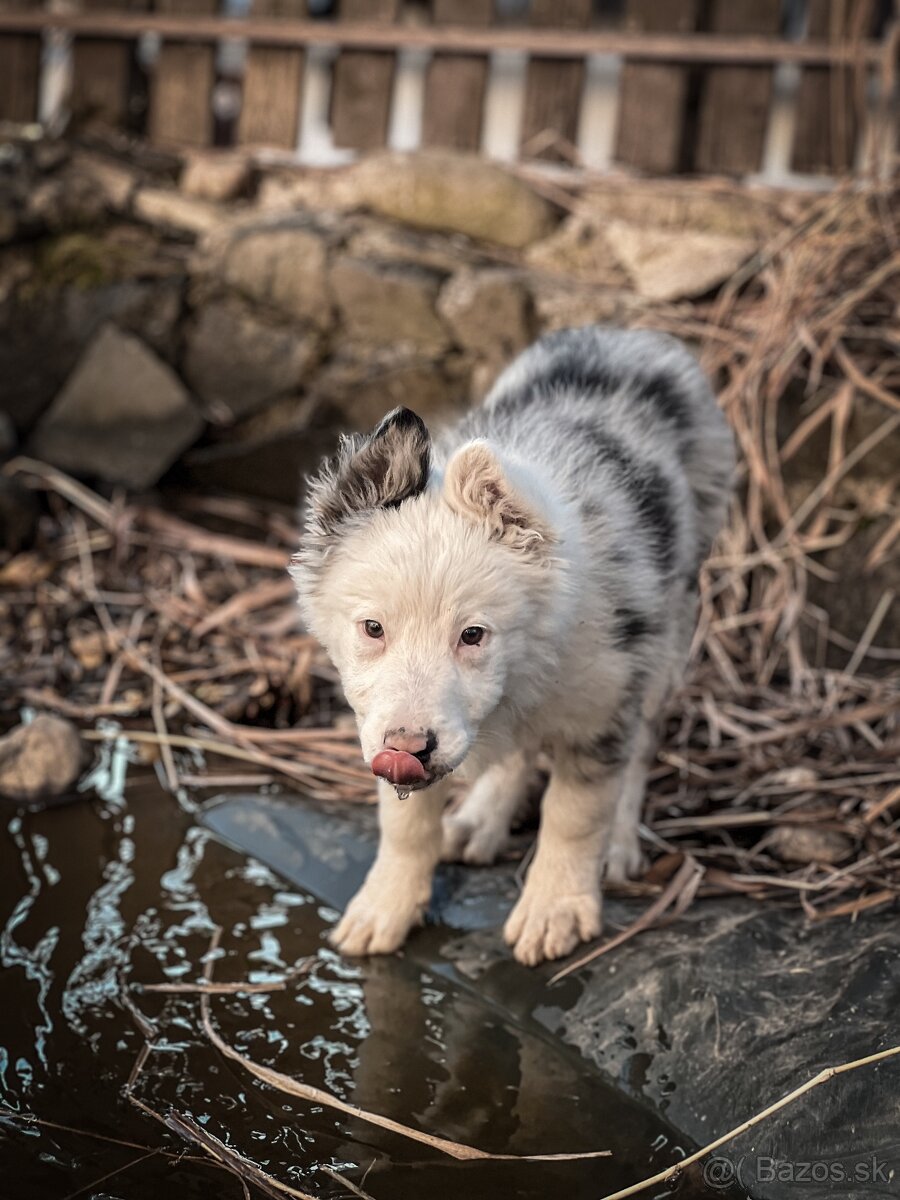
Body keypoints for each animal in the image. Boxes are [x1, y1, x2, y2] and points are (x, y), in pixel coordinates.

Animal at [292, 326, 734, 964]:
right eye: (373, 629)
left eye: (472, 635)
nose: (408, 748)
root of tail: (630, 333)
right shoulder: (385, 721)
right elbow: (406, 824)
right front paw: (385, 905)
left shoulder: (603, 702)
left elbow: (575, 813)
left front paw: (556, 909)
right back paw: (479, 820)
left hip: (671, 623)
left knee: (643, 739)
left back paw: (617, 844)